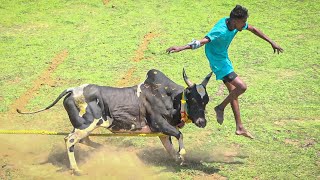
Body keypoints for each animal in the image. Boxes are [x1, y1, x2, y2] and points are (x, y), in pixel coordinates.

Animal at [17, 68, 212, 174]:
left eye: (206, 100)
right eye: (193, 99)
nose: (202, 122)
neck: (169, 97)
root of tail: (73, 90)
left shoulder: (162, 132)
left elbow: (171, 149)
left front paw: (180, 159)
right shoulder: (159, 124)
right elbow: (180, 135)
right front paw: (182, 155)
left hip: (85, 126)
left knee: (83, 140)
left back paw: (106, 149)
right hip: (85, 124)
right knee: (70, 140)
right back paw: (76, 169)